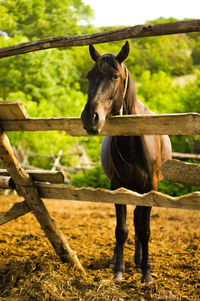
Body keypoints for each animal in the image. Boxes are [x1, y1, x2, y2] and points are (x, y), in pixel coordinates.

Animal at [80, 41, 171, 282]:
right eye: (90, 76)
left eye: (115, 76)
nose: (90, 118)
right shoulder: (117, 186)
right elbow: (121, 230)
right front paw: (118, 271)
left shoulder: (150, 188)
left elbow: (144, 229)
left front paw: (146, 273)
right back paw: (117, 261)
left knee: (139, 223)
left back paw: (139, 262)